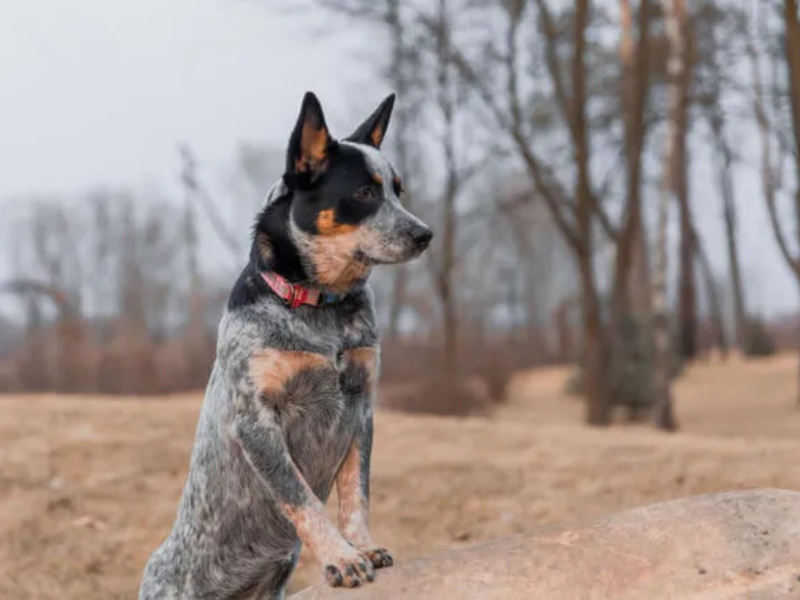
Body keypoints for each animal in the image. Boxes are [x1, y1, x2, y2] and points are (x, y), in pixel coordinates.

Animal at [141, 90, 434, 600]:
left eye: (399, 189)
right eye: (364, 193)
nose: (425, 234)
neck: (321, 308)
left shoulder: (362, 407)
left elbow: (356, 493)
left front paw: (363, 545)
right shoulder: (257, 422)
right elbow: (303, 500)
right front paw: (342, 557)